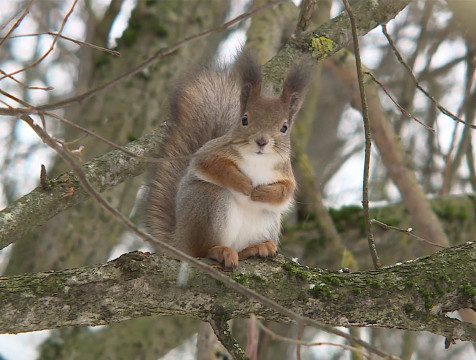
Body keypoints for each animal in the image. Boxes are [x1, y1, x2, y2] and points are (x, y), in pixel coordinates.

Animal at [147, 52, 314, 268]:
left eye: (284, 127)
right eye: (244, 119)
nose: (262, 141)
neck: (257, 160)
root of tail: (178, 241)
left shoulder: (285, 171)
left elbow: (286, 190)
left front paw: (262, 193)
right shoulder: (211, 152)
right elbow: (214, 166)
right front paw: (243, 184)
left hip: (268, 221)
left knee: (241, 251)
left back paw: (258, 248)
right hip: (209, 202)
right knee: (201, 250)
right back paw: (219, 251)